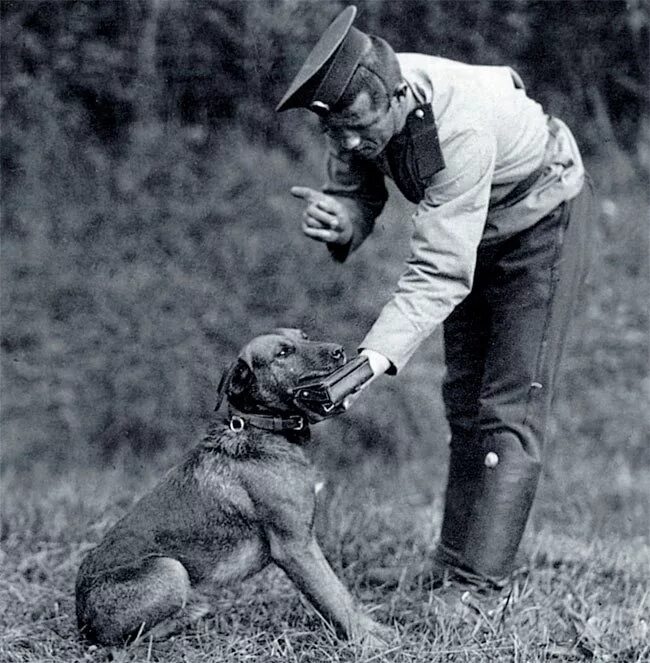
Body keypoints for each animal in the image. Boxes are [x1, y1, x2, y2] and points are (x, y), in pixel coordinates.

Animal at [76, 330, 390, 652]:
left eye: (304, 336)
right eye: (283, 353)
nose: (340, 351)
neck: (262, 428)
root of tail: (82, 618)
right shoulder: (295, 547)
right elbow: (336, 597)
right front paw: (370, 642)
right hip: (171, 569)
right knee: (128, 640)